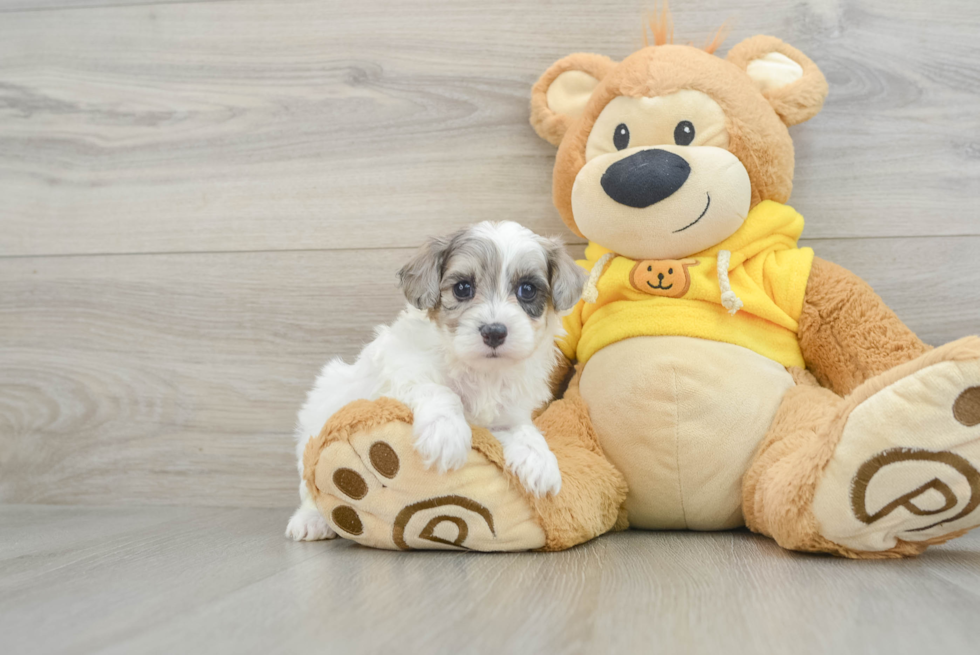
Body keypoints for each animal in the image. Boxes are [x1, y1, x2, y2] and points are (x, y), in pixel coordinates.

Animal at [288, 223, 584, 540]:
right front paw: (447, 434)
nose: (494, 331)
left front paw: (539, 460)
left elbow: (524, 430)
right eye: (463, 288)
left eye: (527, 290)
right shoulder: (401, 371)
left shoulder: (509, 413)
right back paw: (310, 519)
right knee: (310, 484)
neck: (480, 371)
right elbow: (439, 391)